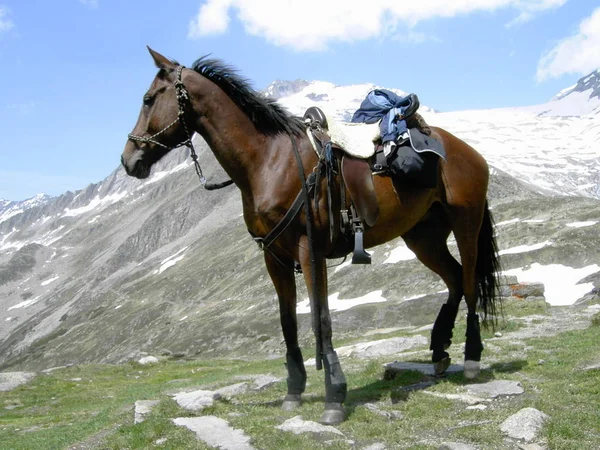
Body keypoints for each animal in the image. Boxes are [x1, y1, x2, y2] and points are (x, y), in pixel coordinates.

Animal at [119, 48, 500, 426]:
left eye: (148, 99)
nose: (128, 160)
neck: (269, 160)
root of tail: (468, 151)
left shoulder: (309, 249)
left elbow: (321, 318)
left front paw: (335, 394)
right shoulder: (273, 256)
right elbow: (288, 321)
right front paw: (294, 391)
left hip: (466, 224)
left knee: (468, 282)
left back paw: (471, 357)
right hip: (423, 237)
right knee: (454, 280)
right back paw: (439, 351)